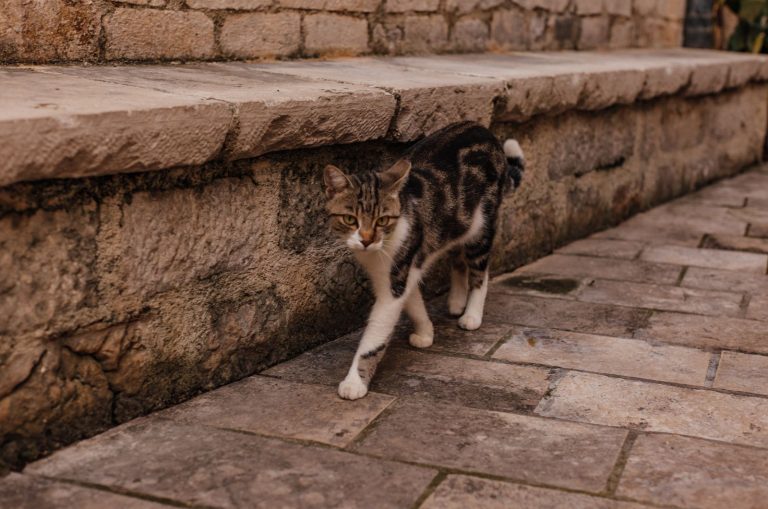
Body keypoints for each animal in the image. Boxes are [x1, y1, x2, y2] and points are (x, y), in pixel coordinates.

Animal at [320, 121, 524, 398]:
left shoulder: (397, 277)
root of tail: (485, 131)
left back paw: (471, 314)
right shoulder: (403, 270)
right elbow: (414, 301)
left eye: (382, 220)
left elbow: (376, 334)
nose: (366, 240)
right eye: (350, 219)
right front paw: (426, 332)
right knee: (457, 257)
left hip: (481, 226)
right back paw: (456, 302)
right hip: (457, 223)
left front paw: (355, 383)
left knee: (480, 271)